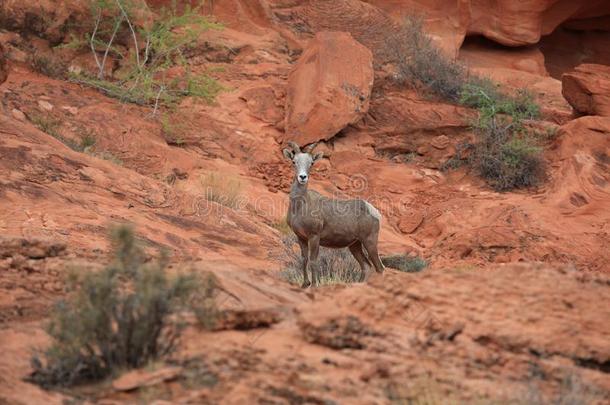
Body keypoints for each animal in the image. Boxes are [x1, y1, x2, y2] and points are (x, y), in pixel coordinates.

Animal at [282, 140, 384, 286]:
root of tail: (374, 211)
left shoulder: (314, 237)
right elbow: (304, 259)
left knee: (379, 268)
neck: (300, 206)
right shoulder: (301, 238)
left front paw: (314, 285)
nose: (303, 177)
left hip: (369, 241)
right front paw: (305, 284)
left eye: (311, 163)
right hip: (355, 245)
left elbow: (313, 261)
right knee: (366, 266)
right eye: (294, 161)